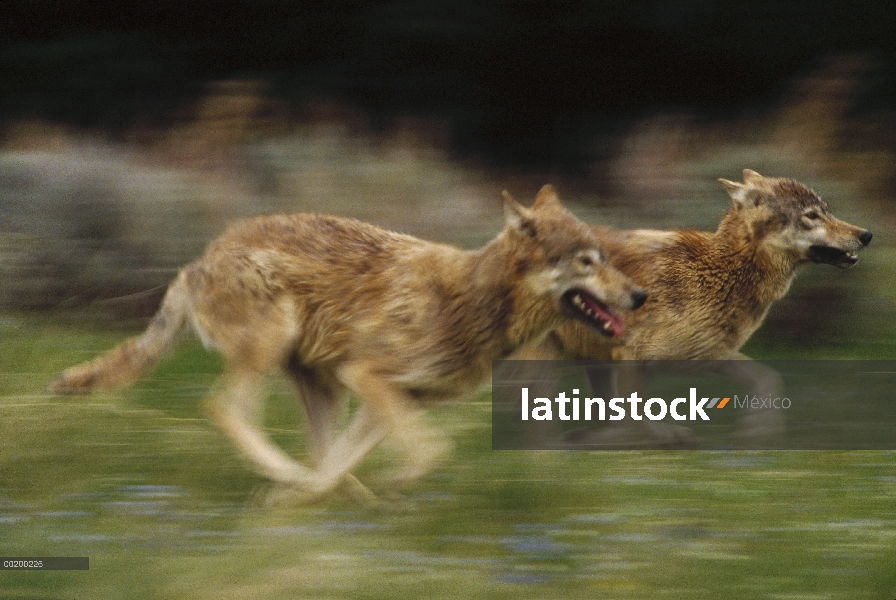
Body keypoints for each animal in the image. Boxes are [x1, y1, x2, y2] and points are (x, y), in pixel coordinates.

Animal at [50, 185, 644, 500]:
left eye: (606, 258)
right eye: (587, 262)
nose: (638, 296)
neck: (477, 302)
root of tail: (197, 262)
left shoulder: (391, 399)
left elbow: (346, 462)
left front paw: (313, 507)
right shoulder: (370, 378)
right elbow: (432, 452)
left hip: (324, 389)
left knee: (317, 454)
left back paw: (318, 495)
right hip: (276, 352)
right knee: (223, 408)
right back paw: (291, 479)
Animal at [528, 169, 872, 446]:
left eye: (827, 212)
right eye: (812, 216)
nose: (866, 234)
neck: (723, 271)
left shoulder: (708, 354)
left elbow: (768, 379)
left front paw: (758, 434)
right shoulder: (633, 357)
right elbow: (634, 422)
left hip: (594, 362)